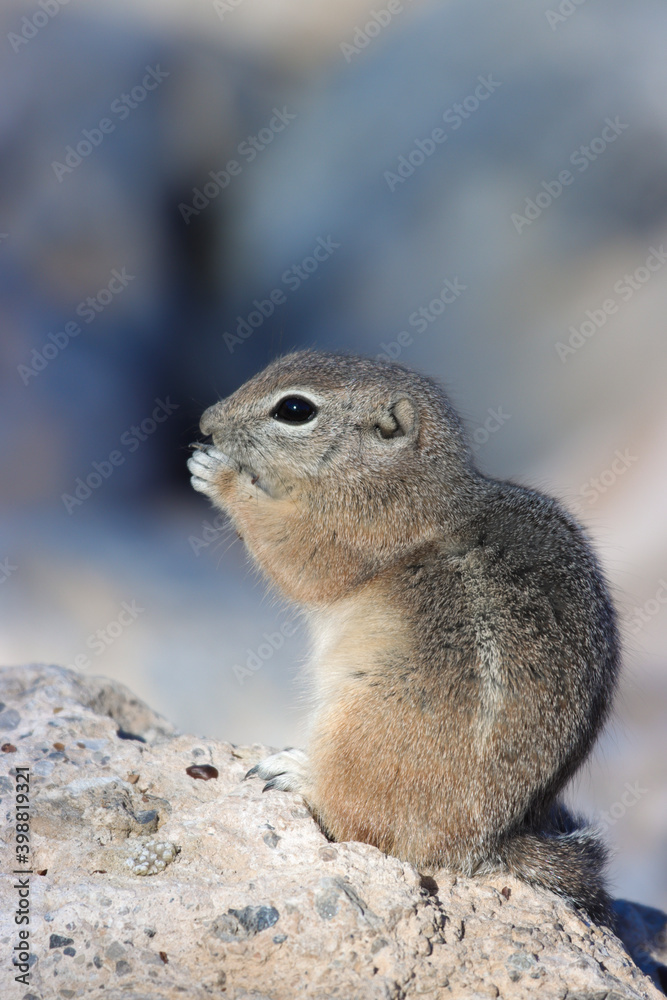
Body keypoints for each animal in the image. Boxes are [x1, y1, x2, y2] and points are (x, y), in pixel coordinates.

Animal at [188, 350, 620, 920]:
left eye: (295, 409)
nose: (204, 422)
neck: (405, 477)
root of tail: (493, 841)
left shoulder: (354, 529)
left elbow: (298, 555)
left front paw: (216, 475)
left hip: (361, 724)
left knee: (356, 821)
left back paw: (295, 773)